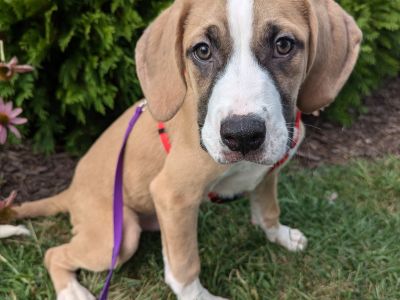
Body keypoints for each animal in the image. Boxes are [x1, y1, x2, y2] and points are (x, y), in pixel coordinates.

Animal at [0, 1, 362, 298]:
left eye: (284, 45)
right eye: (202, 50)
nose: (243, 135)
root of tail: (72, 191)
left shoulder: (265, 171)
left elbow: (268, 211)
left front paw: (281, 235)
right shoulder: (173, 194)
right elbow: (185, 267)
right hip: (118, 236)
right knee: (54, 254)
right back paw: (72, 291)